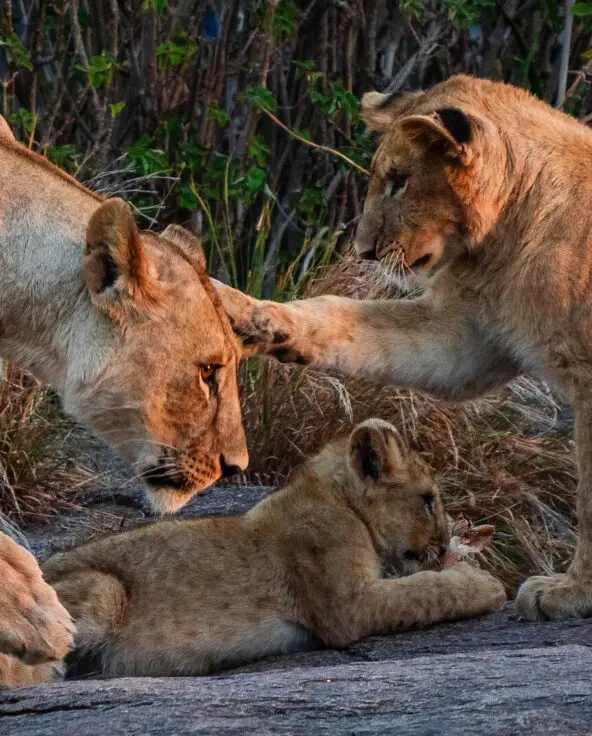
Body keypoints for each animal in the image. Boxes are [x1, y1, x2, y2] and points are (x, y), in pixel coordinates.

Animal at [0, 418, 503, 685]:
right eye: (428, 500)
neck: (340, 501)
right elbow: (424, 592)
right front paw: (483, 582)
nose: (444, 544)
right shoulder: (346, 608)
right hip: (104, 589)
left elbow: (418, 587)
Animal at [212, 75, 592, 622]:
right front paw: (245, 313)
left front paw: (572, 592)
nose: (364, 252)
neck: (507, 237)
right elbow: (341, 316)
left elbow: (588, 496)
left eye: (399, 180)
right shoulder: (463, 336)